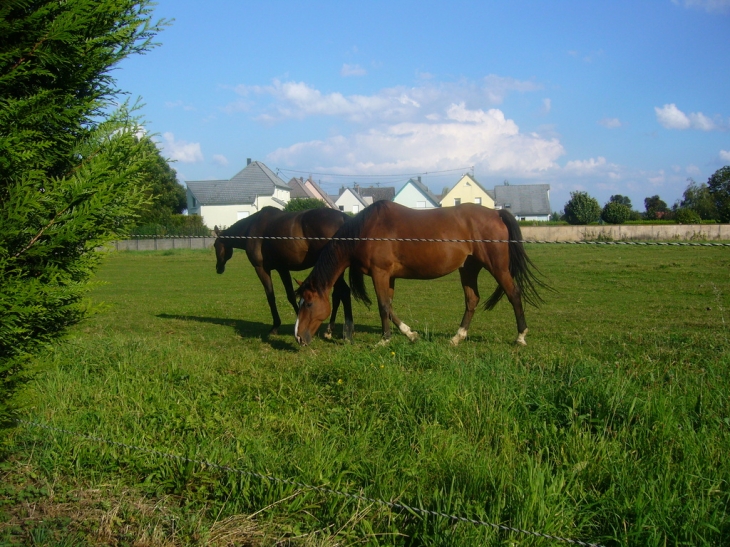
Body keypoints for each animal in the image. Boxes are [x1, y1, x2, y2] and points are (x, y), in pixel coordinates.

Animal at [213, 208, 352, 340]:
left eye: (214, 245)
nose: (218, 268)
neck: (252, 228)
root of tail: (344, 218)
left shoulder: (261, 269)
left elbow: (270, 296)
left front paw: (276, 326)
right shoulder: (282, 268)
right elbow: (291, 295)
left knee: (342, 292)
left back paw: (339, 332)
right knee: (339, 294)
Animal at [292, 201, 544, 346]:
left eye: (308, 304)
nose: (298, 337)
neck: (366, 230)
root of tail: (496, 213)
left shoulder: (380, 273)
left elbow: (383, 306)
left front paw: (384, 340)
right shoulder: (389, 276)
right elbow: (390, 307)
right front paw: (410, 334)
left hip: (497, 267)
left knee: (514, 294)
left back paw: (521, 336)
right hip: (469, 268)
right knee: (472, 300)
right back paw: (457, 337)